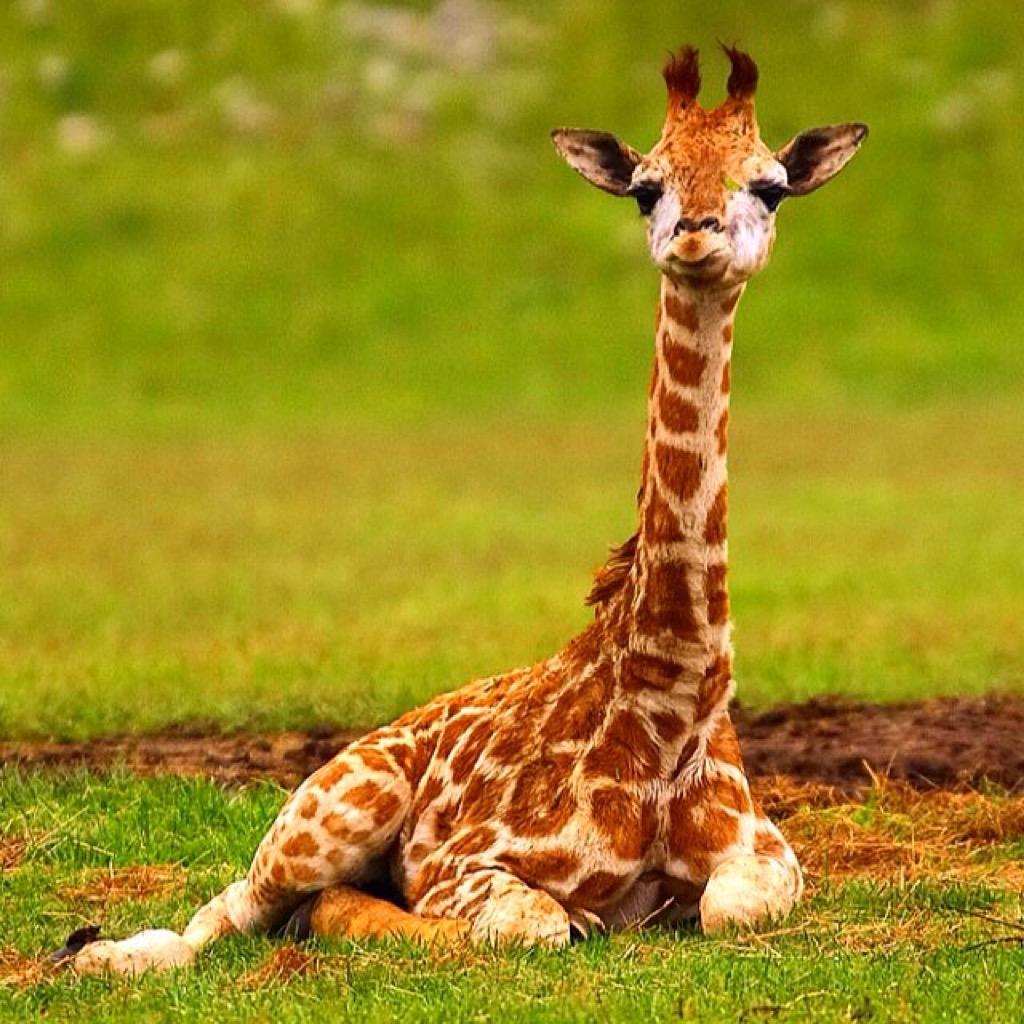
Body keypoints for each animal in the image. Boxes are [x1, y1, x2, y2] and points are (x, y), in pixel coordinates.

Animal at [67, 44, 867, 975]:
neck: (670, 696)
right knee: (229, 911)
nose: (696, 236)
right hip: (337, 802)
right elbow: (535, 922)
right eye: (645, 187)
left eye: (770, 186)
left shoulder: (767, 852)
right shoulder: (465, 863)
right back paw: (101, 956)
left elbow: (729, 907)